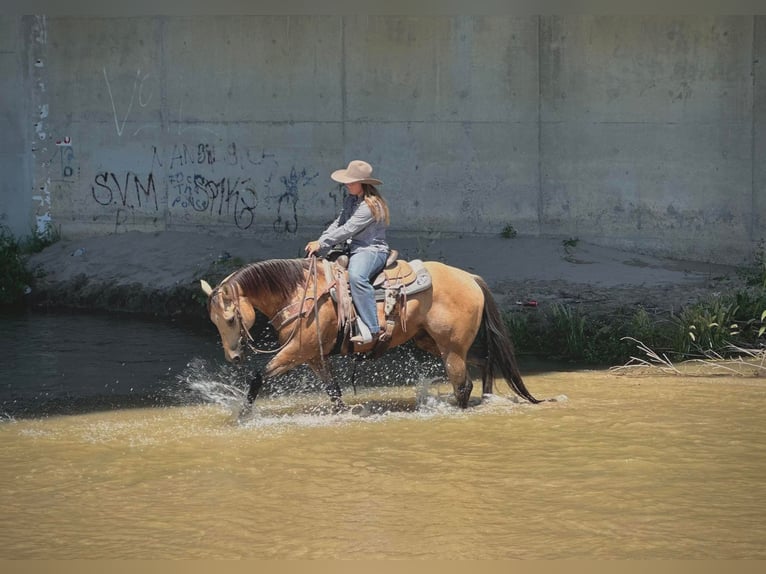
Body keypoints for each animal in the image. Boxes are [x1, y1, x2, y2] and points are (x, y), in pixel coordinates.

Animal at [201, 253, 544, 418]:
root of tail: (469, 278)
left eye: (230, 318)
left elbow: (258, 377)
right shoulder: (314, 356)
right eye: (213, 321)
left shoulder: (297, 351)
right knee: (486, 361)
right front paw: (344, 413)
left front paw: (243, 416)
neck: (300, 292)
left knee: (463, 385)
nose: (233, 356)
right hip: (434, 342)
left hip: (451, 349)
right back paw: (486, 399)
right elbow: (334, 390)